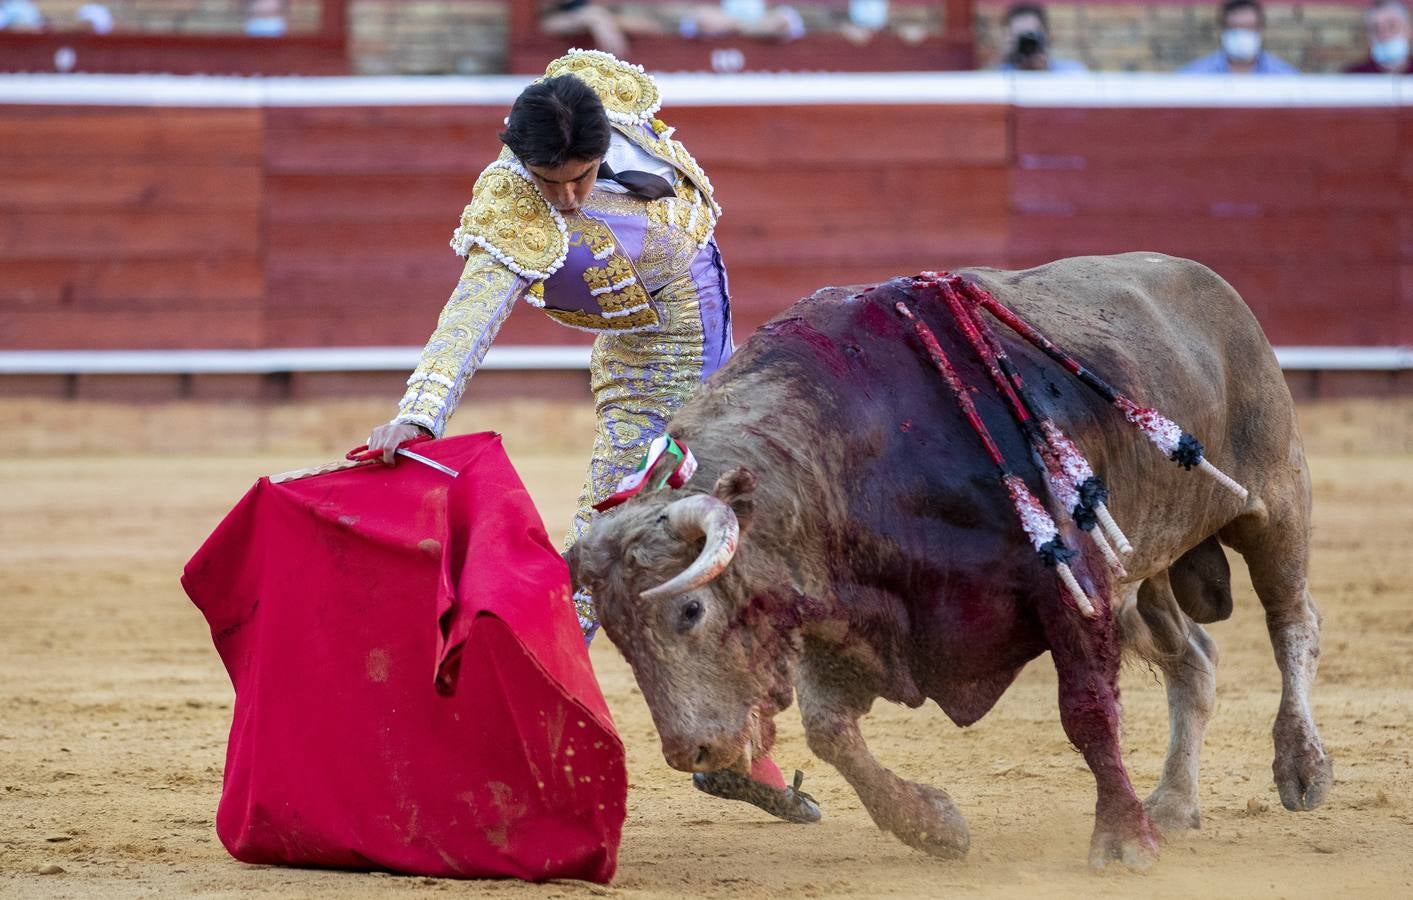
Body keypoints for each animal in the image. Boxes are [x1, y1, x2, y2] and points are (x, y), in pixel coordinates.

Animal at [565, 254, 1333, 870]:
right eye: (621, 640)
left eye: (690, 608)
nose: (690, 752)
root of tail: (1210, 285)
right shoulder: (845, 612)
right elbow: (830, 732)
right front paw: (934, 826)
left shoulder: (1071, 585)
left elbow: (1087, 714)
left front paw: (1121, 842)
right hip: (1142, 573)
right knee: (1195, 659)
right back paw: (1173, 803)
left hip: (1273, 499)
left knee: (1291, 619)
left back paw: (1300, 768)